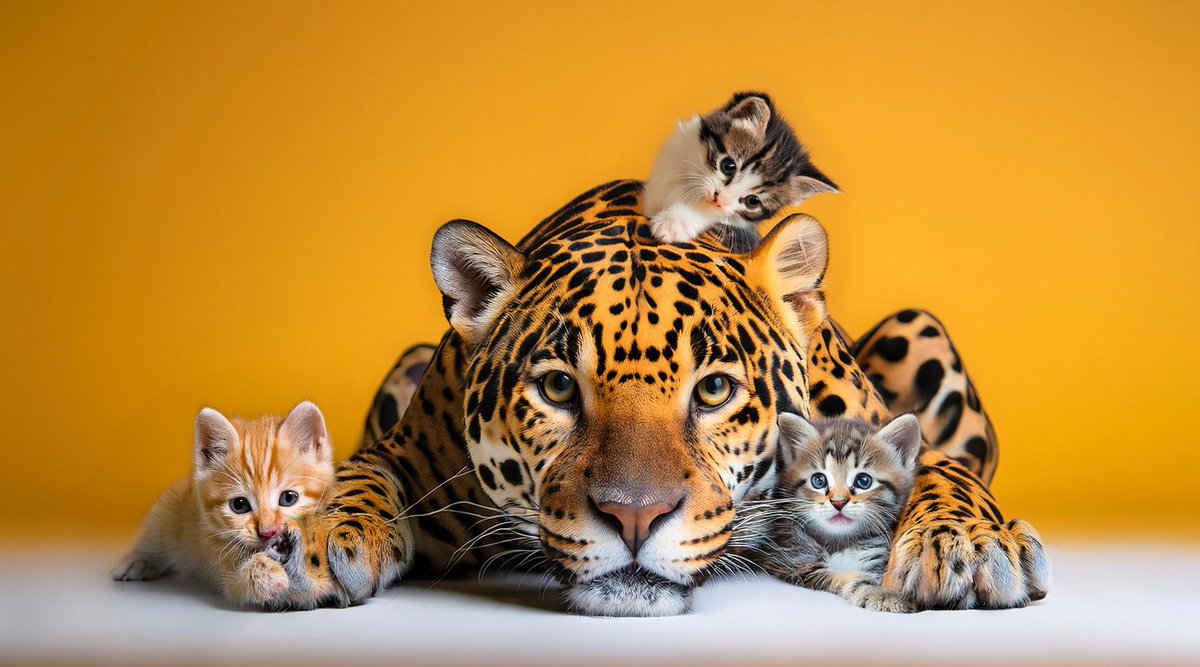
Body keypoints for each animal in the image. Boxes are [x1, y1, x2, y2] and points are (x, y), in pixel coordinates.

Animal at [268, 180, 1050, 615]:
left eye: (714, 390)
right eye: (558, 386)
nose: (634, 518)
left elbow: (945, 474)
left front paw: (968, 545)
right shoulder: (406, 451)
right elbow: (354, 474)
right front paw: (311, 539)